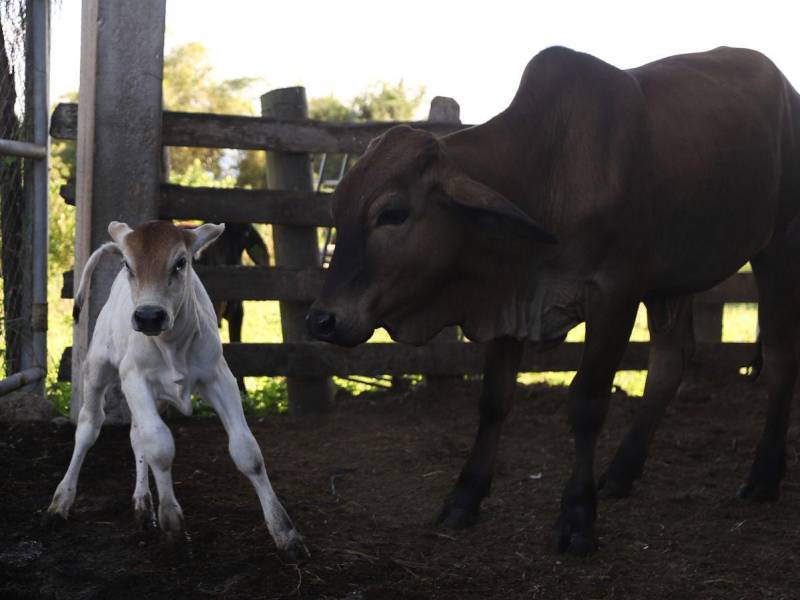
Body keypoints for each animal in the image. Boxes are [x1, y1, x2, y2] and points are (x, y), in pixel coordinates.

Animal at [47, 220, 308, 564]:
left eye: (180, 262)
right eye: (128, 264)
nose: (149, 316)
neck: (172, 345)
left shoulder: (219, 378)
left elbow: (247, 452)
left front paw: (285, 532)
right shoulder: (134, 378)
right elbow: (159, 446)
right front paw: (172, 524)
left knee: (136, 435)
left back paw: (143, 505)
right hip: (98, 368)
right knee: (89, 428)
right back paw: (61, 501)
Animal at [306, 44, 800, 556]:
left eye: (392, 213)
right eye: (336, 209)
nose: (321, 320)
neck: (547, 170)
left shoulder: (614, 294)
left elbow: (587, 403)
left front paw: (577, 518)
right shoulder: (510, 298)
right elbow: (494, 401)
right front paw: (465, 498)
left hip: (779, 246)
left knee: (780, 356)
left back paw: (764, 477)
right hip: (673, 281)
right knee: (669, 364)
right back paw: (621, 473)